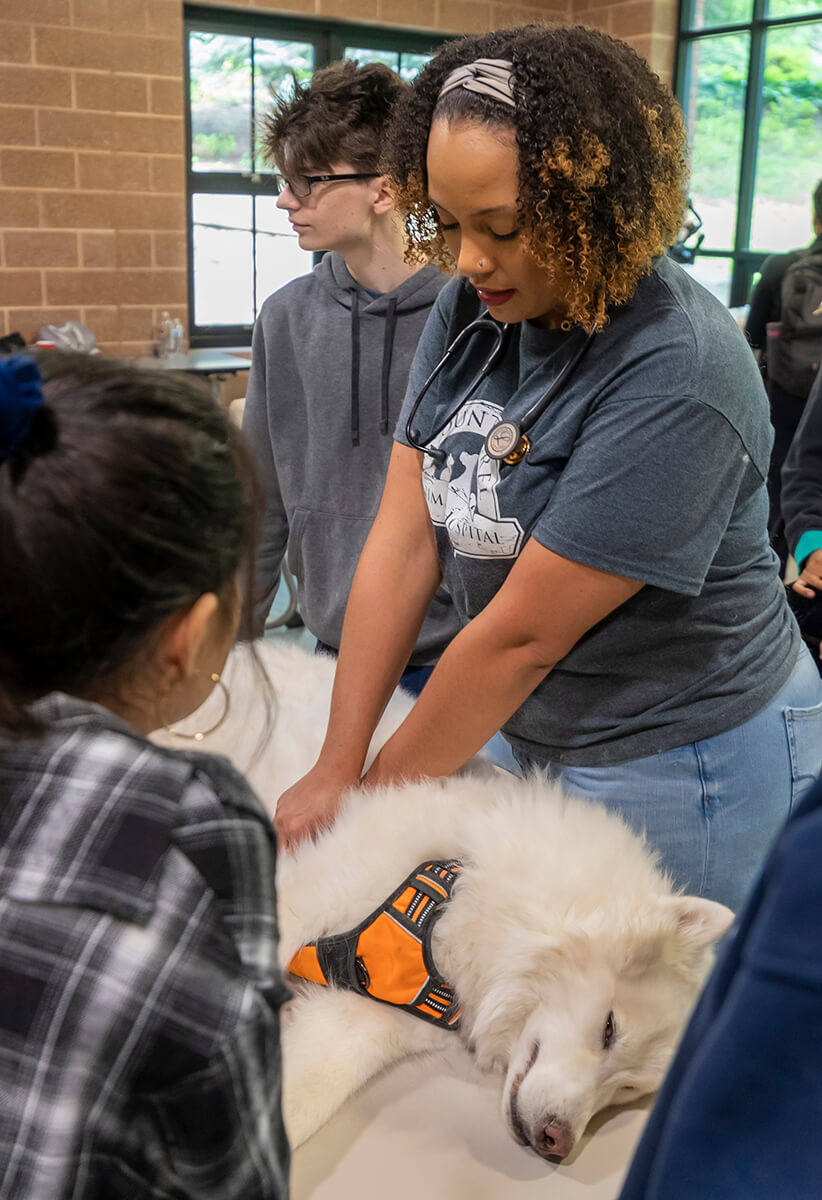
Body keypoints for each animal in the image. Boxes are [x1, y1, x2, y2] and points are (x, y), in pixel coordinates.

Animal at [153, 648, 729, 1161]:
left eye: (627, 1089)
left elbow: (298, 1104)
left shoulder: (356, 1020)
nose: (557, 1144)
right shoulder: (301, 897)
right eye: (609, 1029)